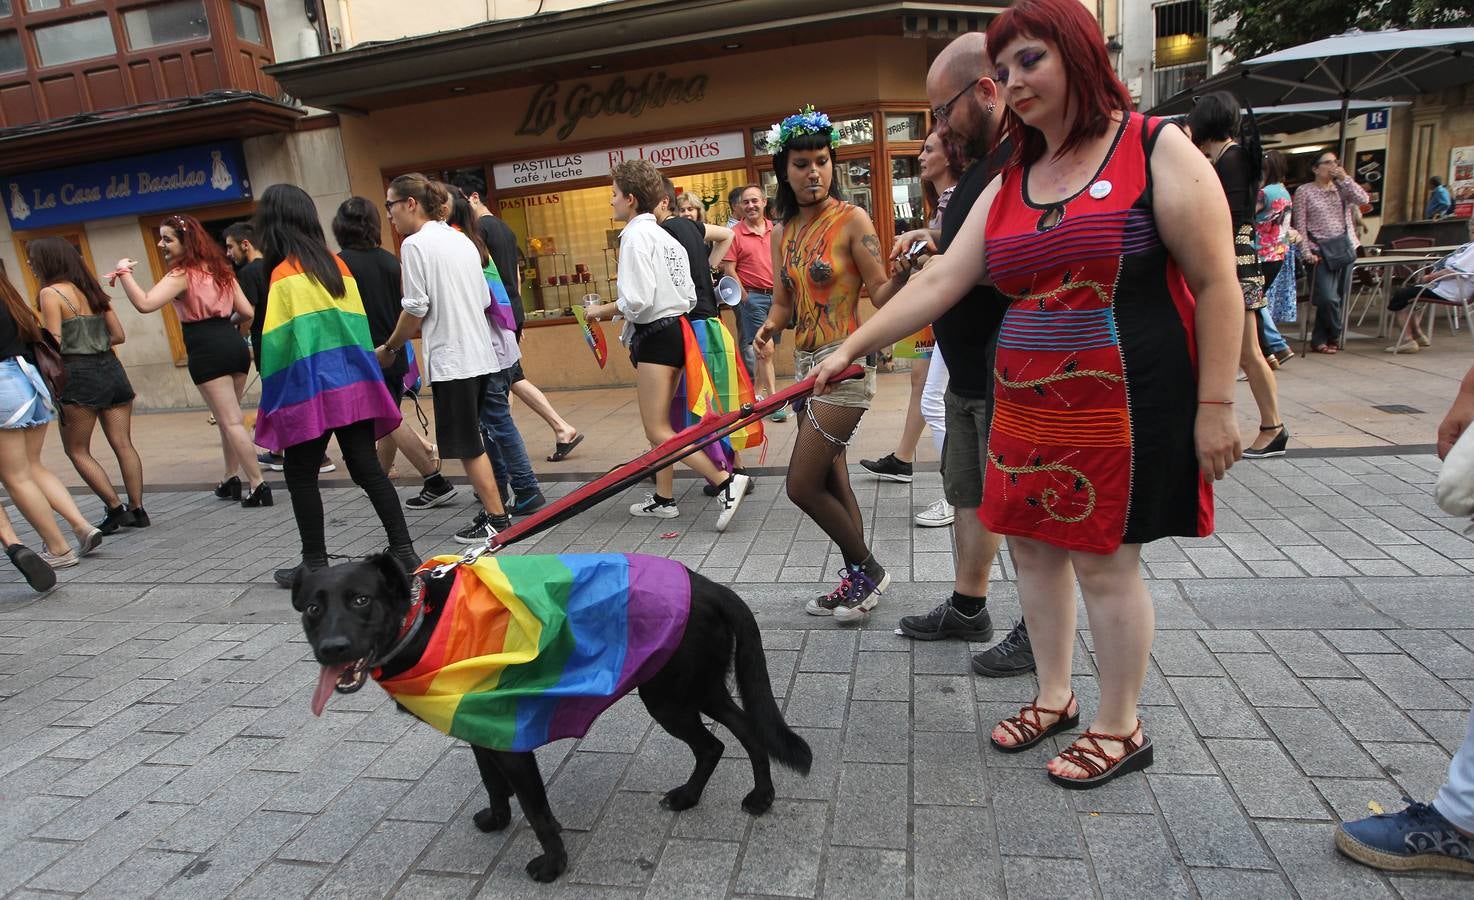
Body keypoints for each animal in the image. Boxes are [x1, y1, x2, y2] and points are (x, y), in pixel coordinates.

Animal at [291, 553, 813, 883]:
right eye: (314, 608)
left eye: (361, 600)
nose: (331, 650)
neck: (423, 618)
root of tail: (713, 587)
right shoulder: (479, 728)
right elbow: (493, 785)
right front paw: (497, 819)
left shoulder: (512, 742)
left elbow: (539, 814)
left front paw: (553, 867)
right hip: (696, 689)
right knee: (742, 734)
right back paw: (747, 797)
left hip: (671, 697)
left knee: (717, 742)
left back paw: (710, 796)